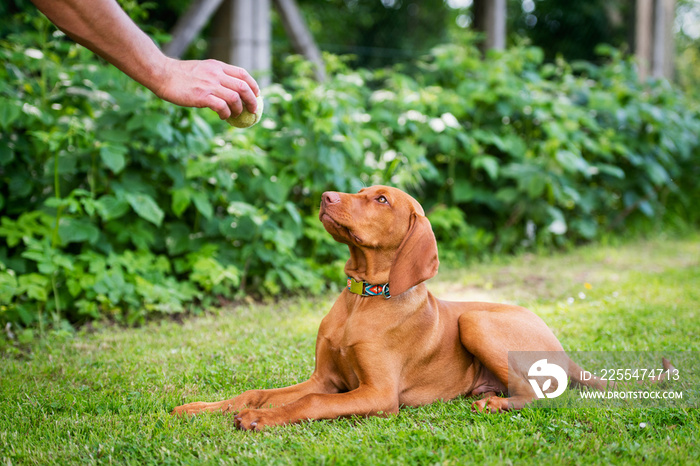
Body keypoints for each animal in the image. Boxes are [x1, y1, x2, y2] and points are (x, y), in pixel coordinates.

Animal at [171, 185, 672, 430]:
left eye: (380, 199)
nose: (324, 197)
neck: (363, 298)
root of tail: (565, 352)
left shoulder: (377, 395)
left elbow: (309, 403)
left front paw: (260, 419)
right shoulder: (325, 378)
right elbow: (258, 391)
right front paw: (200, 408)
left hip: (475, 320)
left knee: (540, 397)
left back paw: (492, 405)